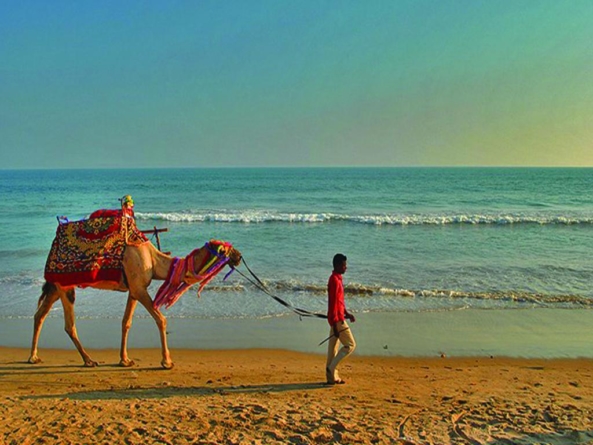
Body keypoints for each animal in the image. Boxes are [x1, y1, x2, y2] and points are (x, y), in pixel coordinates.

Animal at [27, 239, 240, 368]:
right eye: (226, 249)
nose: (239, 256)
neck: (154, 260)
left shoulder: (134, 290)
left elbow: (126, 322)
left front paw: (125, 359)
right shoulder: (139, 288)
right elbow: (161, 320)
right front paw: (167, 361)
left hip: (55, 287)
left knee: (40, 315)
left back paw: (33, 357)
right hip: (65, 287)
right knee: (69, 324)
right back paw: (88, 360)